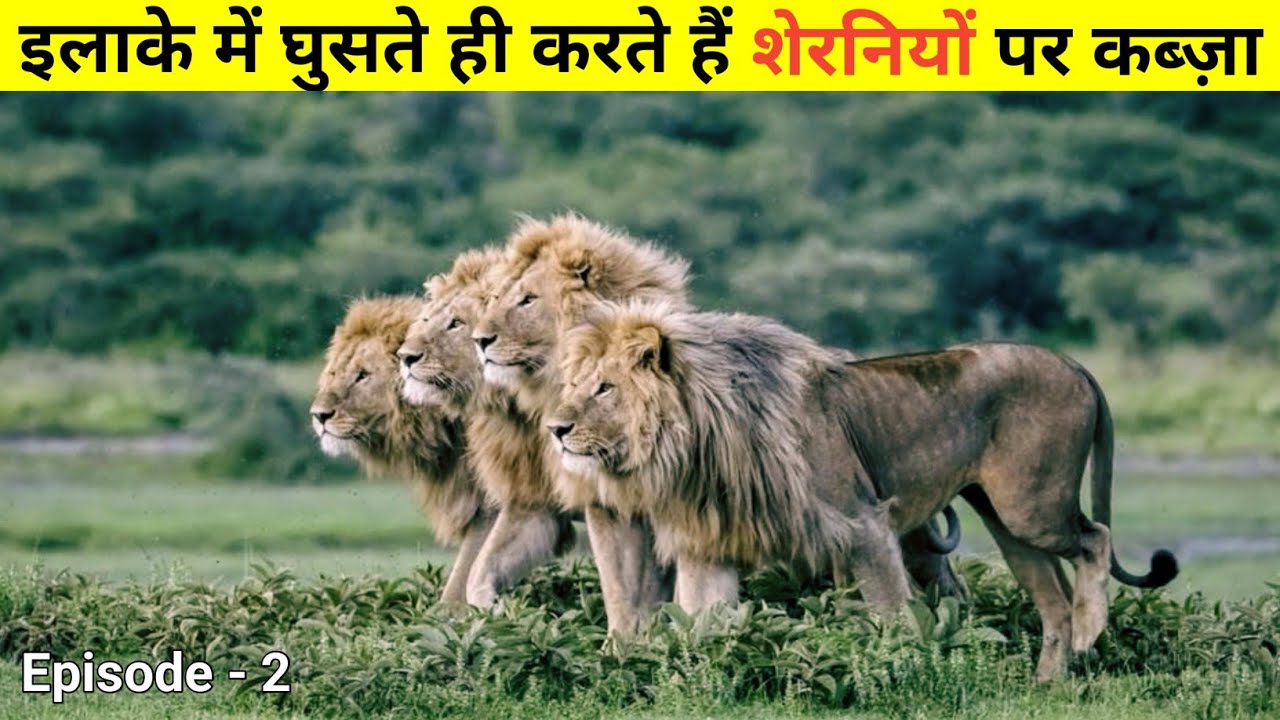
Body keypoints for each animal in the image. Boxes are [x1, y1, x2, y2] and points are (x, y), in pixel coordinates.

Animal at [471, 213, 967, 631]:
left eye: (527, 299)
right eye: (494, 298)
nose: (480, 340)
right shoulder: (608, 507)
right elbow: (619, 596)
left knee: (938, 581)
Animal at [550, 299, 1179, 682]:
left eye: (604, 389)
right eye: (574, 385)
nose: (555, 427)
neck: (701, 436)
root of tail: (1074, 362)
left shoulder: (862, 521)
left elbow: (890, 610)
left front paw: (904, 669)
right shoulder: (712, 543)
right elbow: (703, 619)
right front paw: (699, 670)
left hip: (1031, 504)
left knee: (1095, 538)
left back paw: (1089, 632)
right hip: (1007, 519)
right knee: (1052, 599)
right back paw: (1048, 682)